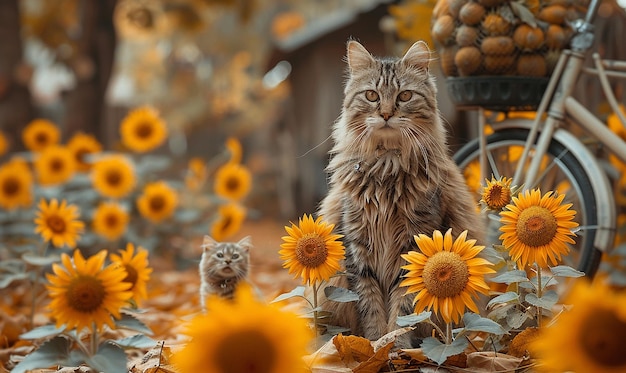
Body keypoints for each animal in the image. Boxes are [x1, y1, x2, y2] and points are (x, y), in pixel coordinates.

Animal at [316, 40, 482, 340]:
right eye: (371, 95)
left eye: (404, 96)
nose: (385, 114)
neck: (386, 169)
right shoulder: (358, 249)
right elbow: (369, 307)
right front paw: (373, 344)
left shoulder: (414, 245)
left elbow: (404, 309)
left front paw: (396, 343)